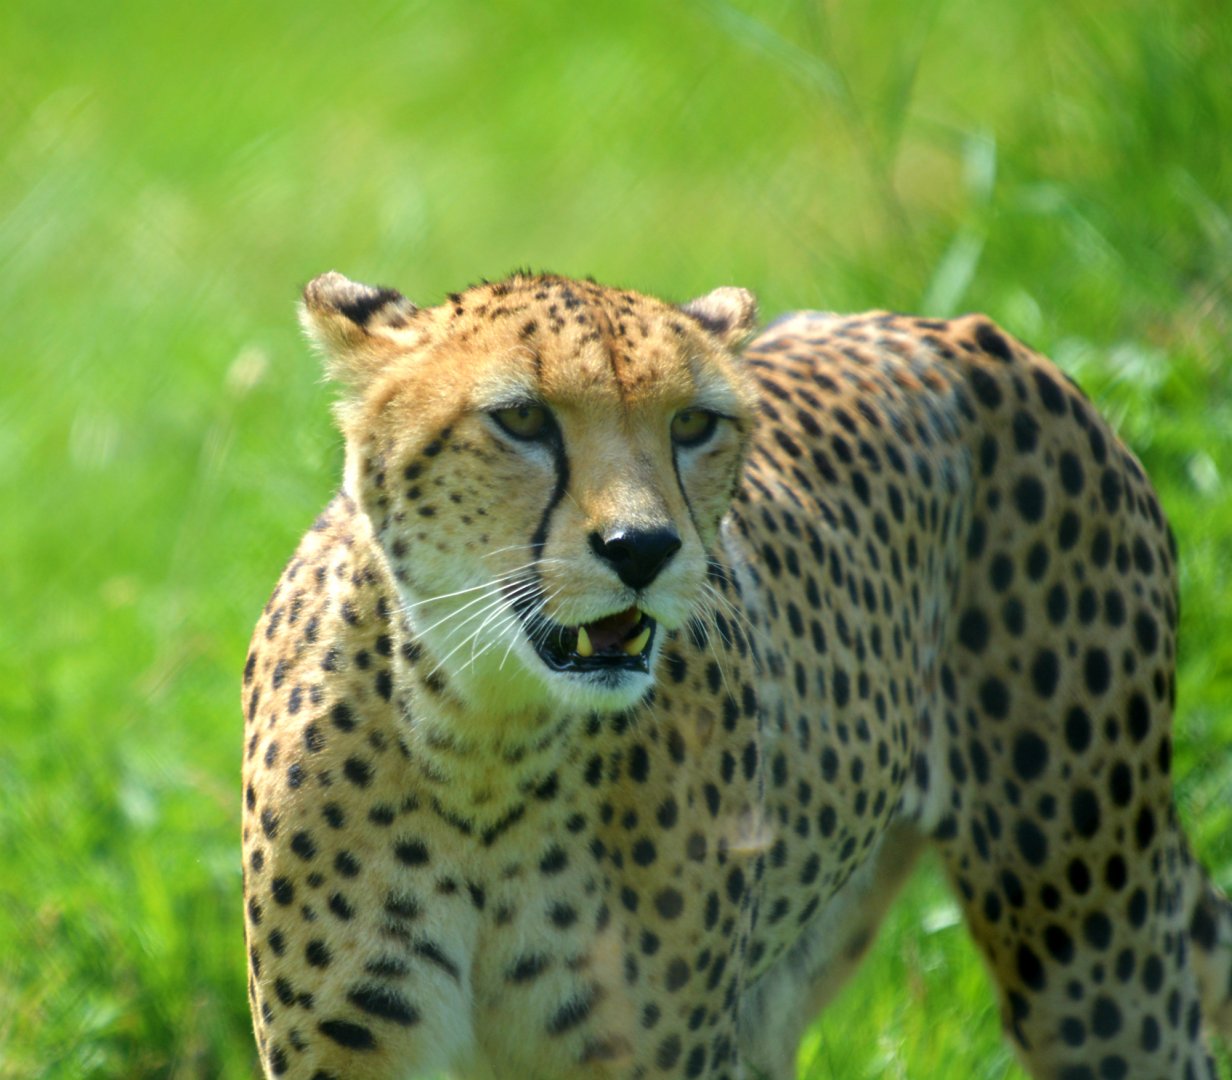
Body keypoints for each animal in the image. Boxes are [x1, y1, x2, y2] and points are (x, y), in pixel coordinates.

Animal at [242, 268, 1232, 1079]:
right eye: (521, 418)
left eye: (693, 424)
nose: (643, 548)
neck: (487, 745)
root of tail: (972, 331)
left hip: (1091, 952)